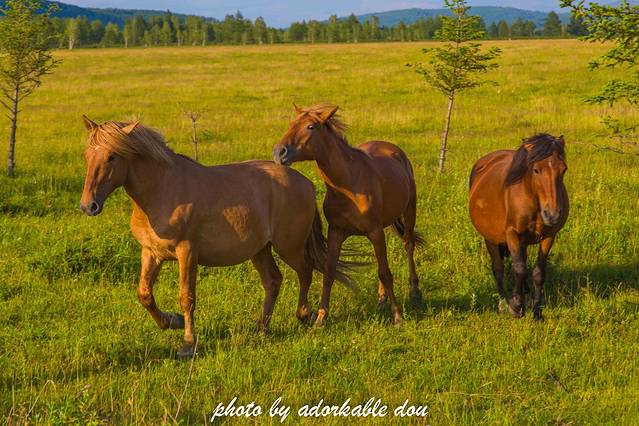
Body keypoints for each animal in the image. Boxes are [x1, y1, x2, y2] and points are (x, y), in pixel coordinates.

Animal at [79, 116, 354, 358]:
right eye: (87, 155)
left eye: (112, 156)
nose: (88, 206)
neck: (161, 191)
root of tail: (306, 183)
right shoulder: (151, 253)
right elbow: (145, 294)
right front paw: (171, 321)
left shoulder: (187, 252)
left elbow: (187, 297)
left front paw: (188, 344)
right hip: (260, 250)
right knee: (273, 280)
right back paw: (261, 327)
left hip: (289, 246)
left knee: (305, 272)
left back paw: (304, 315)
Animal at [272, 104, 423, 326]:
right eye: (291, 124)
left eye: (310, 126)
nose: (279, 153)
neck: (348, 184)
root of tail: (394, 150)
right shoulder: (337, 232)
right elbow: (329, 273)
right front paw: (320, 318)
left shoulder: (374, 231)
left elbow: (386, 273)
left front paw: (397, 316)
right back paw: (381, 299)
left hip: (409, 211)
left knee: (408, 244)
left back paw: (414, 292)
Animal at [468, 133, 569, 321]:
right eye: (536, 170)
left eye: (563, 169)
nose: (552, 215)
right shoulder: (512, 234)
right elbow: (519, 269)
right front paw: (516, 306)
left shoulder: (549, 237)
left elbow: (538, 273)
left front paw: (536, 312)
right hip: (491, 239)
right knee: (499, 268)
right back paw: (503, 303)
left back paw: (526, 295)